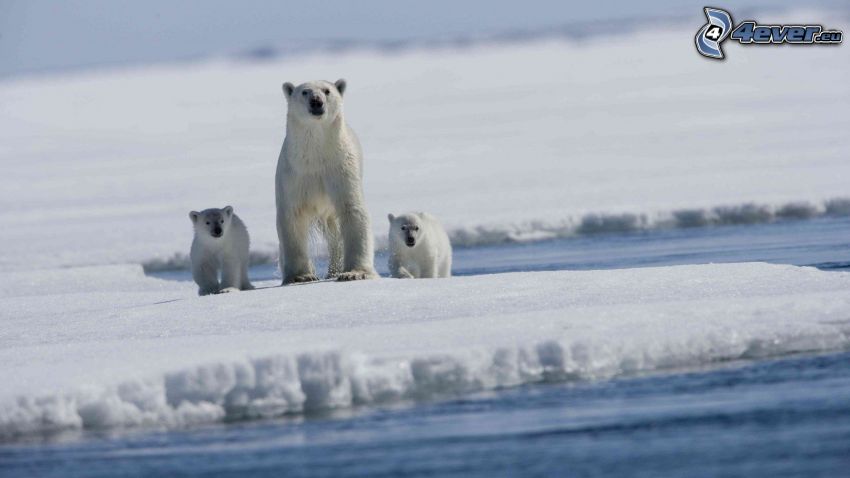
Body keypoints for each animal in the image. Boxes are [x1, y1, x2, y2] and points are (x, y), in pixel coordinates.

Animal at [274, 79, 378, 284]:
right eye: (304, 92)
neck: (315, 156)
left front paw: (354, 273)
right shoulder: (293, 175)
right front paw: (301, 276)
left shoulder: (340, 169)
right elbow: (292, 217)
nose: (316, 101)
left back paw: (334, 271)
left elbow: (352, 210)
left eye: (327, 91)